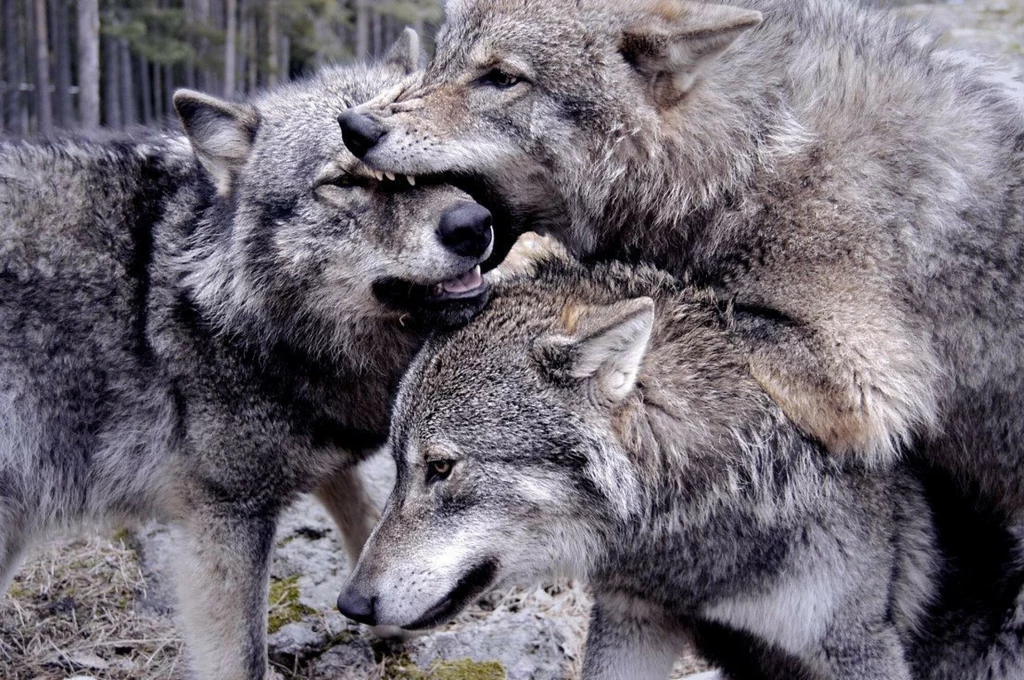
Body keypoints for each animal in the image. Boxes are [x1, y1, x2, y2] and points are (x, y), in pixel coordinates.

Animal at [339, 0, 1024, 536]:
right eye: (442, 58)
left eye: (502, 77)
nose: (355, 125)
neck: (750, 150)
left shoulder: (861, 377)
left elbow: (698, 294)